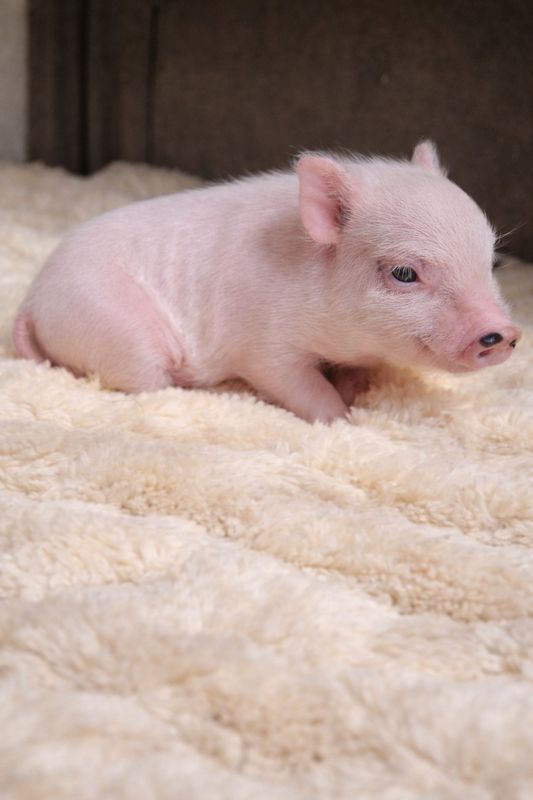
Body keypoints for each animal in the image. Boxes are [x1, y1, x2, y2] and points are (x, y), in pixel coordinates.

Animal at [13, 141, 521, 423]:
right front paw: (344, 419)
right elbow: (302, 387)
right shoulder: (263, 347)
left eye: (491, 261)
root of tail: (33, 299)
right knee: (146, 382)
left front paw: (353, 393)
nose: (504, 332)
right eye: (404, 273)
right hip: (119, 329)